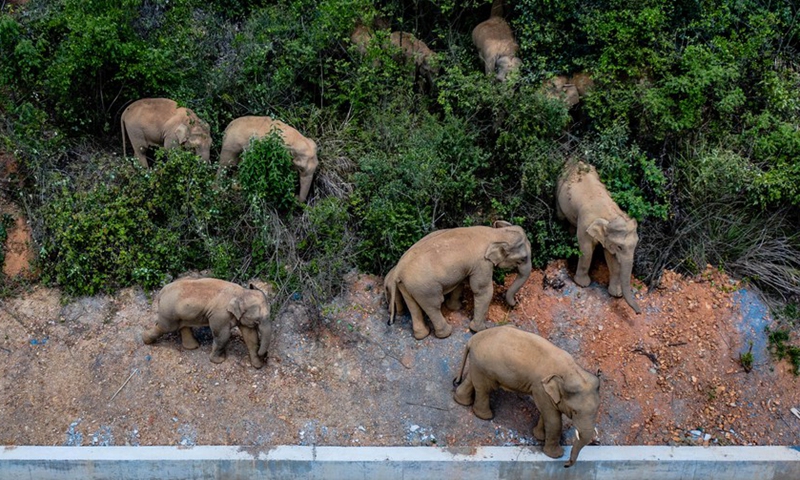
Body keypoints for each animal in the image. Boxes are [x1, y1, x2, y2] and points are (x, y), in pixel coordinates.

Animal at [142, 278, 273, 369]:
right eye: (257, 320)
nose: (266, 356)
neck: (241, 292)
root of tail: (161, 292)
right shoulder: (220, 315)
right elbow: (223, 336)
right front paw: (219, 361)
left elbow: (251, 337)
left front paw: (257, 365)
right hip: (169, 312)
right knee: (165, 327)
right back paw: (145, 340)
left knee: (183, 326)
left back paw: (193, 347)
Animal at [385, 221, 532, 339]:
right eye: (523, 259)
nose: (515, 304)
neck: (496, 234)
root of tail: (398, 270)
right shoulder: (482, 263)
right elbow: (483, 290)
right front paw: (480, 329)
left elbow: (460, 282)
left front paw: (455, 308)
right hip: (425, 288)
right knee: (434, 305)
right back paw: (446, 333)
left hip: (407, 286)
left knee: (413, 306)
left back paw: (422, 335)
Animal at [453, 326, 600, 467]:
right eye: (575, 412)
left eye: (596, 411)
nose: (566, 464)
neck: (572, 370)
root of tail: (473, 339)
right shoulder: (540, 387)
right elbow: (553, 420)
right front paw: (556, 455)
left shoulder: (544, 392)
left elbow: (545, 413)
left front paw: (539, 437)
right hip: (485, 365)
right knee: (485, 388)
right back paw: (486, 416)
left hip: (478, 364)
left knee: (473, 380)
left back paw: (461, 401)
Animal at [556, 161, 642, 314]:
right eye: (620, 247)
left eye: (635, 245)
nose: (638, 313)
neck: (610, 215)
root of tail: (574, 160)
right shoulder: (585, 223)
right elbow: (586, 250)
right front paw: (582, 284)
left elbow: (611, 258)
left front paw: (616, 294)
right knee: (561, 216)